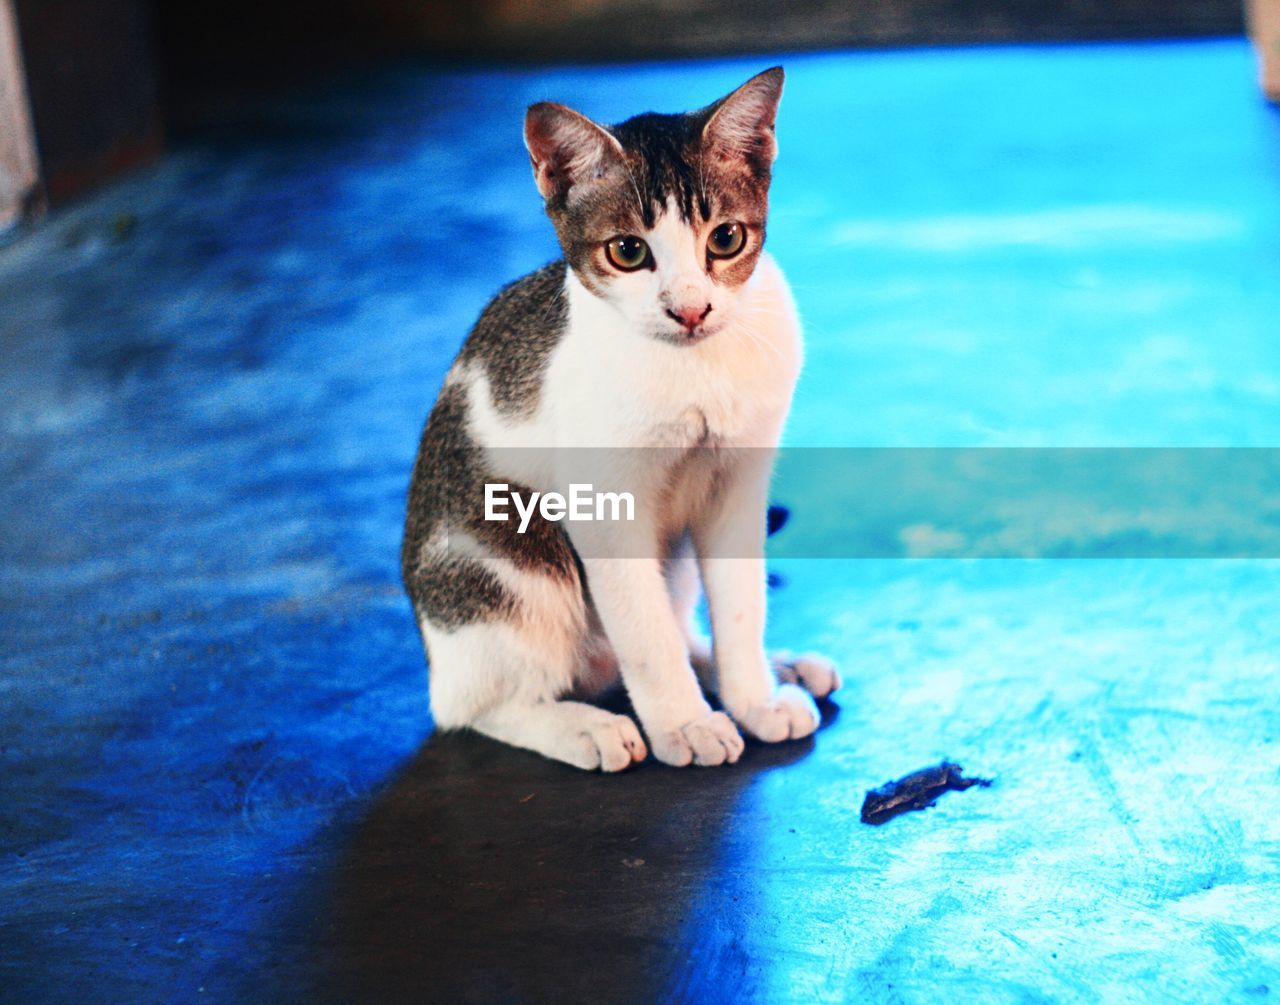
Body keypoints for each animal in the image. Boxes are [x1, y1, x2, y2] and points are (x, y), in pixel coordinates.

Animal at [401, 70, 839, 773]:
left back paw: (773, 669)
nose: (690, 309)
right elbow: (646, 634)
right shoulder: (603, 507)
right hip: (511, 559)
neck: (692, 365)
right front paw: (686, 725)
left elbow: (741, 604)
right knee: (469, 706)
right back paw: (584, 727)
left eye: (725, 239)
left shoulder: (739, 484)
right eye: (629, 252)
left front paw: (753, 696)